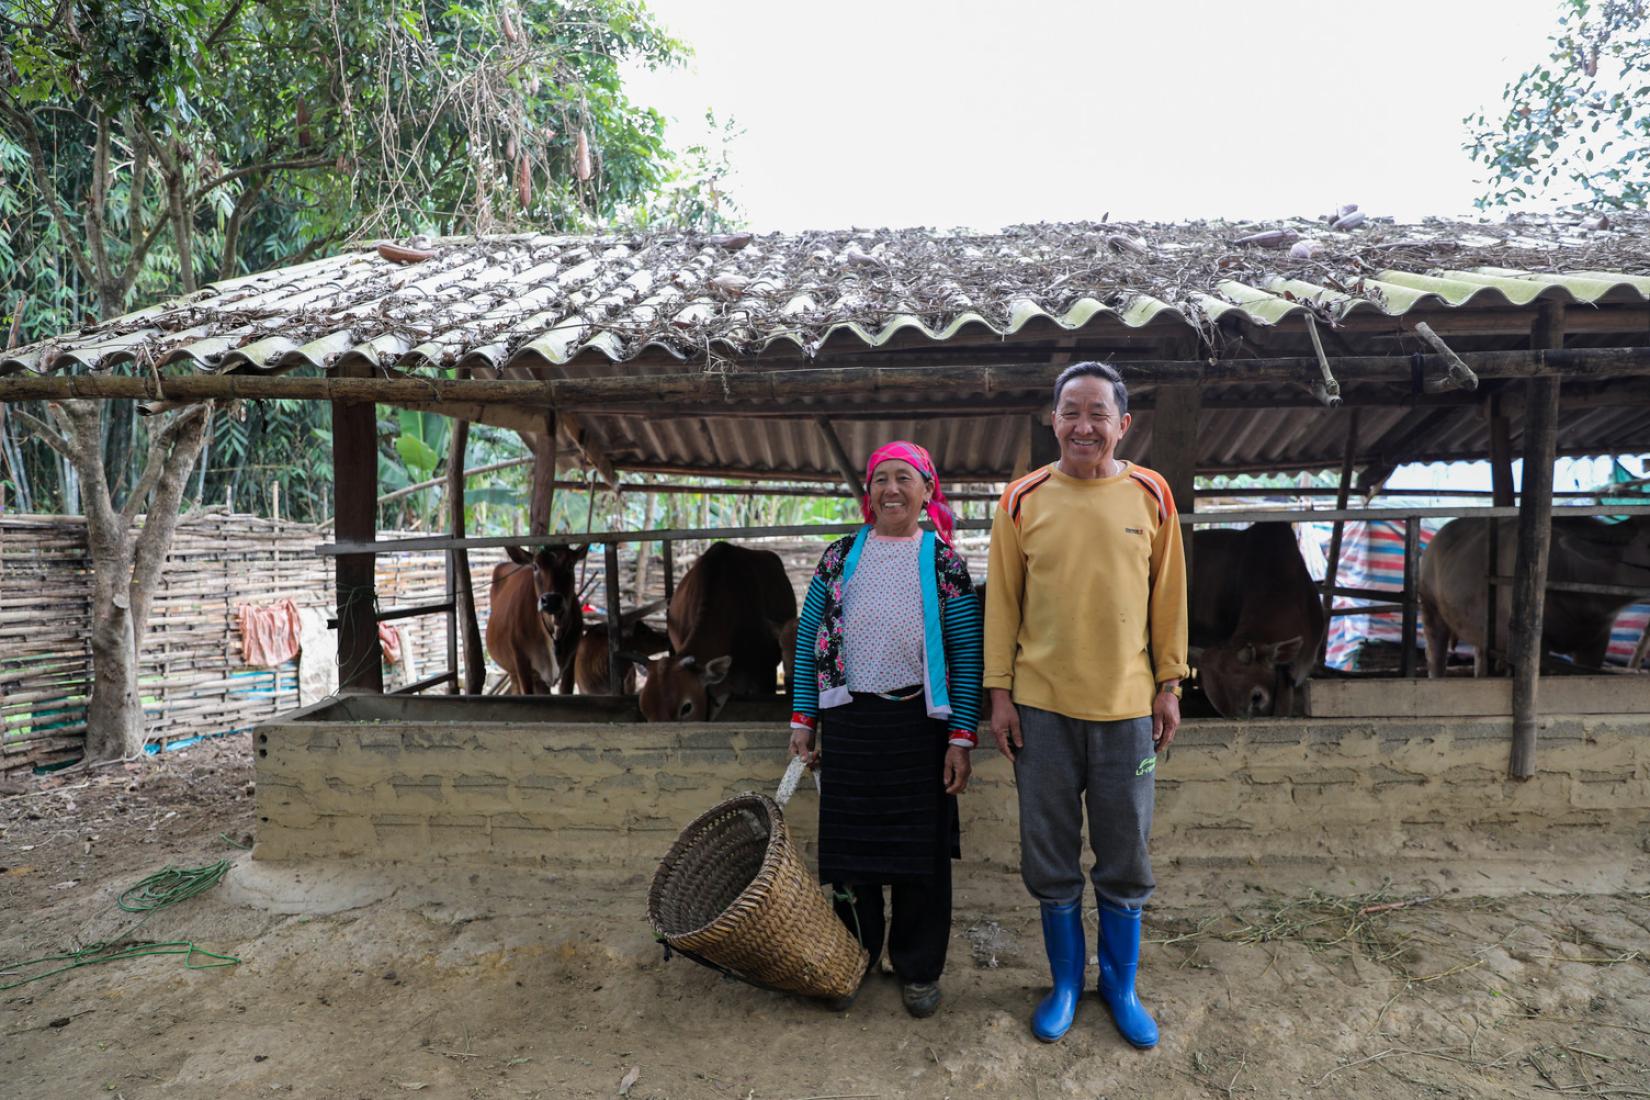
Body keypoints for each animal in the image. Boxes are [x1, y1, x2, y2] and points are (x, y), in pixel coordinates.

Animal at [485, 544, 590, 692]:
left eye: (570, 564)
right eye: (535, 566)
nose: (551, 600)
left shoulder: (571, 659)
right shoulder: (521, 661)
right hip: (513, 671)